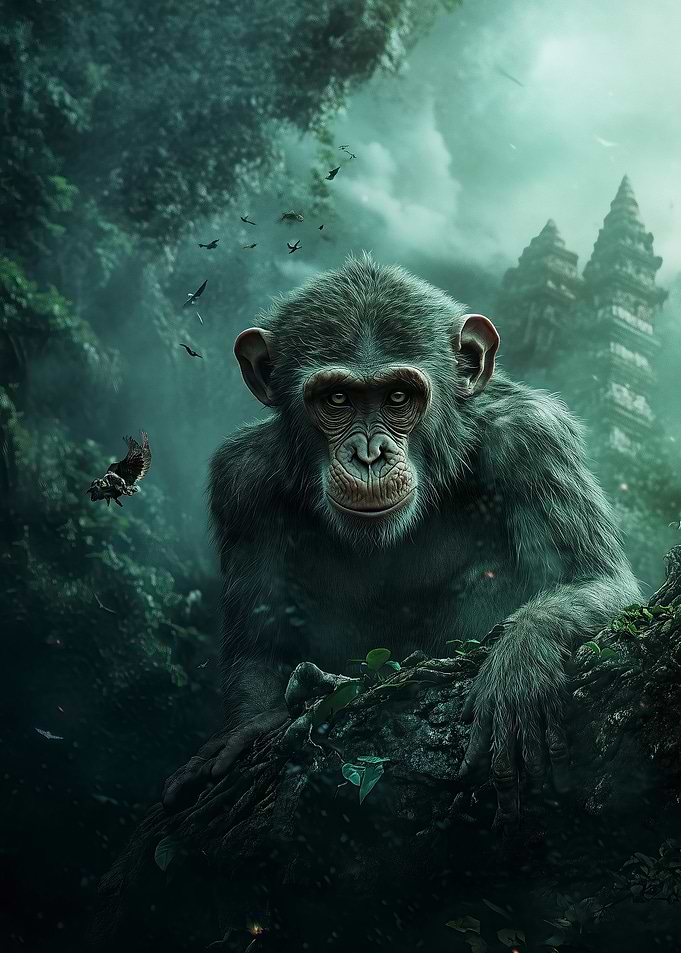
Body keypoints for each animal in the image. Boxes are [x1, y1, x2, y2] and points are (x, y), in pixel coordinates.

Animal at [162, 253, 639, 824]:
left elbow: (595, 580)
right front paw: (247, 726)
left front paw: (520, 665)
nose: (369, 453)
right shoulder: (241, 483)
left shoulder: (533, 438)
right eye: (337, 399)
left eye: (397, 397)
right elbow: (259, 646)